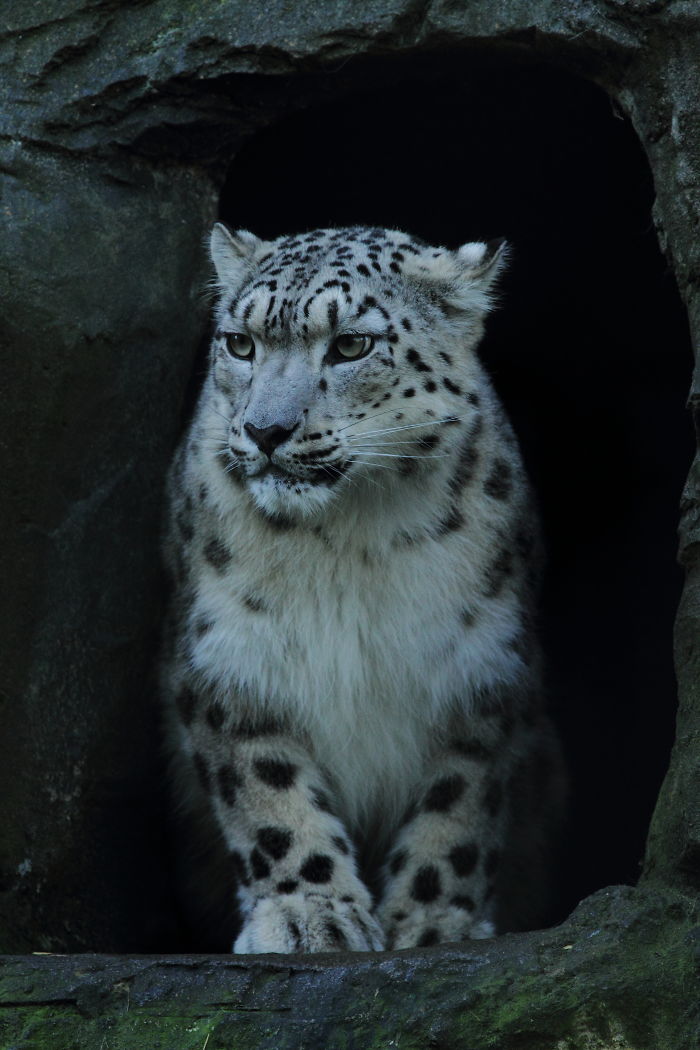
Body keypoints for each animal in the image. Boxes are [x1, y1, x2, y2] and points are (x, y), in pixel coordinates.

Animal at [160, 222, 566, 954]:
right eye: (240, 343)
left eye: (351, 344)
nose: (265, 430)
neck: (350, 539)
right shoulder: (229, 657)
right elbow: (268, 795)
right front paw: (309, 914)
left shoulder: (484, 667)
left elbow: (461, 802)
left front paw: (433, 924)